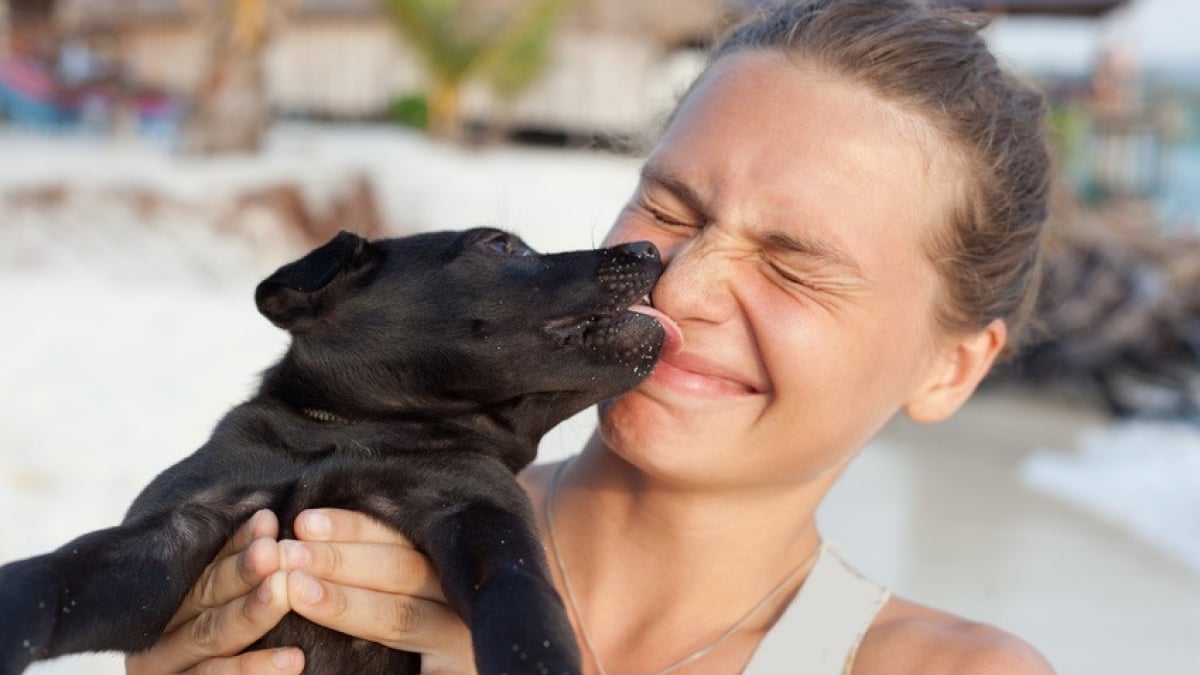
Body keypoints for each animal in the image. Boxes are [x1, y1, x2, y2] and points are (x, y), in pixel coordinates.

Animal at [0, 227, 676, 672]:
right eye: (501, 246)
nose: (649, 249)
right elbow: (54, 573)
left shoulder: (484, 521)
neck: (356, 430)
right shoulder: (173, 533)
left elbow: (524, 607)